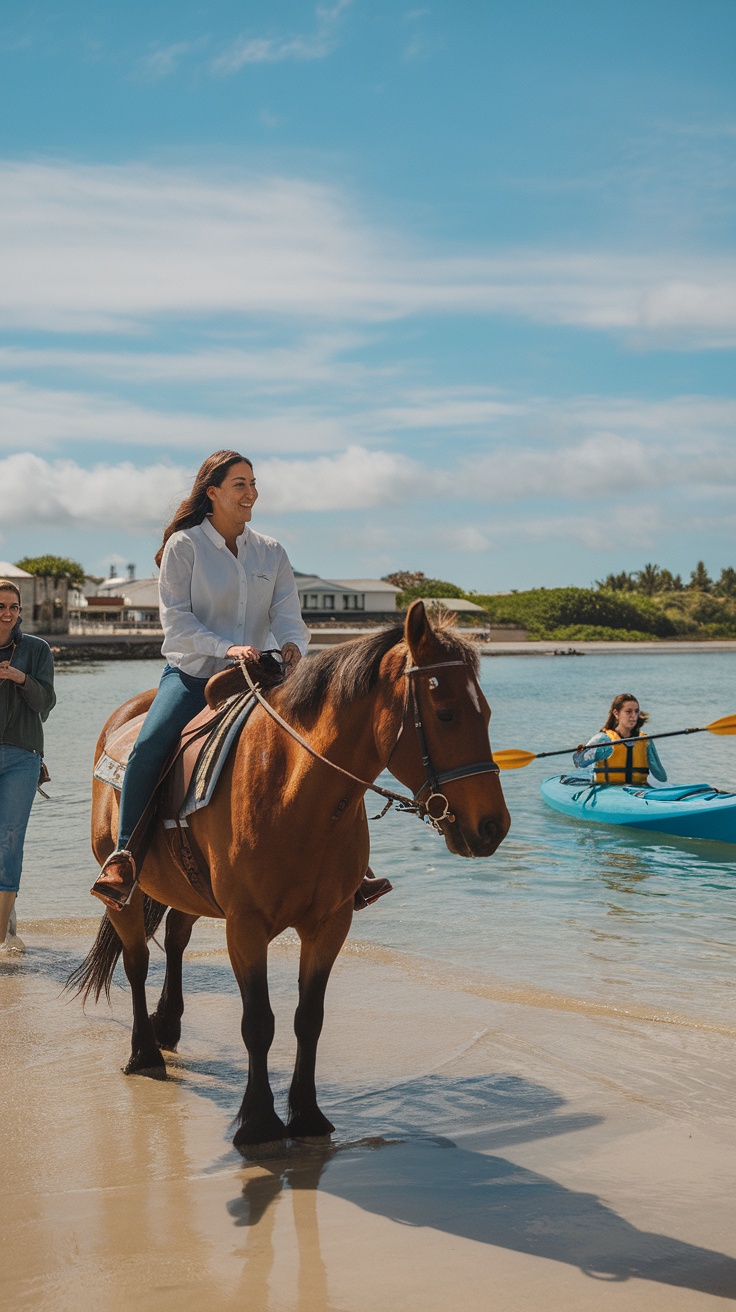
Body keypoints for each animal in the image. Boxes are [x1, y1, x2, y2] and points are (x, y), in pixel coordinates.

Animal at [71, 603, 509, 1149]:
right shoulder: (245, 926)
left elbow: (309, 1019)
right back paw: (145, 1053)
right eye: (446, 713)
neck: (295, 791)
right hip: (126, 895)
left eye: (485, 713)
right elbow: (259, 1022)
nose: (492, 826)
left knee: (174, 939)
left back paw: (168, 1026)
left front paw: (307, 1114)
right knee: (135, 962)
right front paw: (258, 1123)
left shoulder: (330, 924)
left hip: (189, 890)